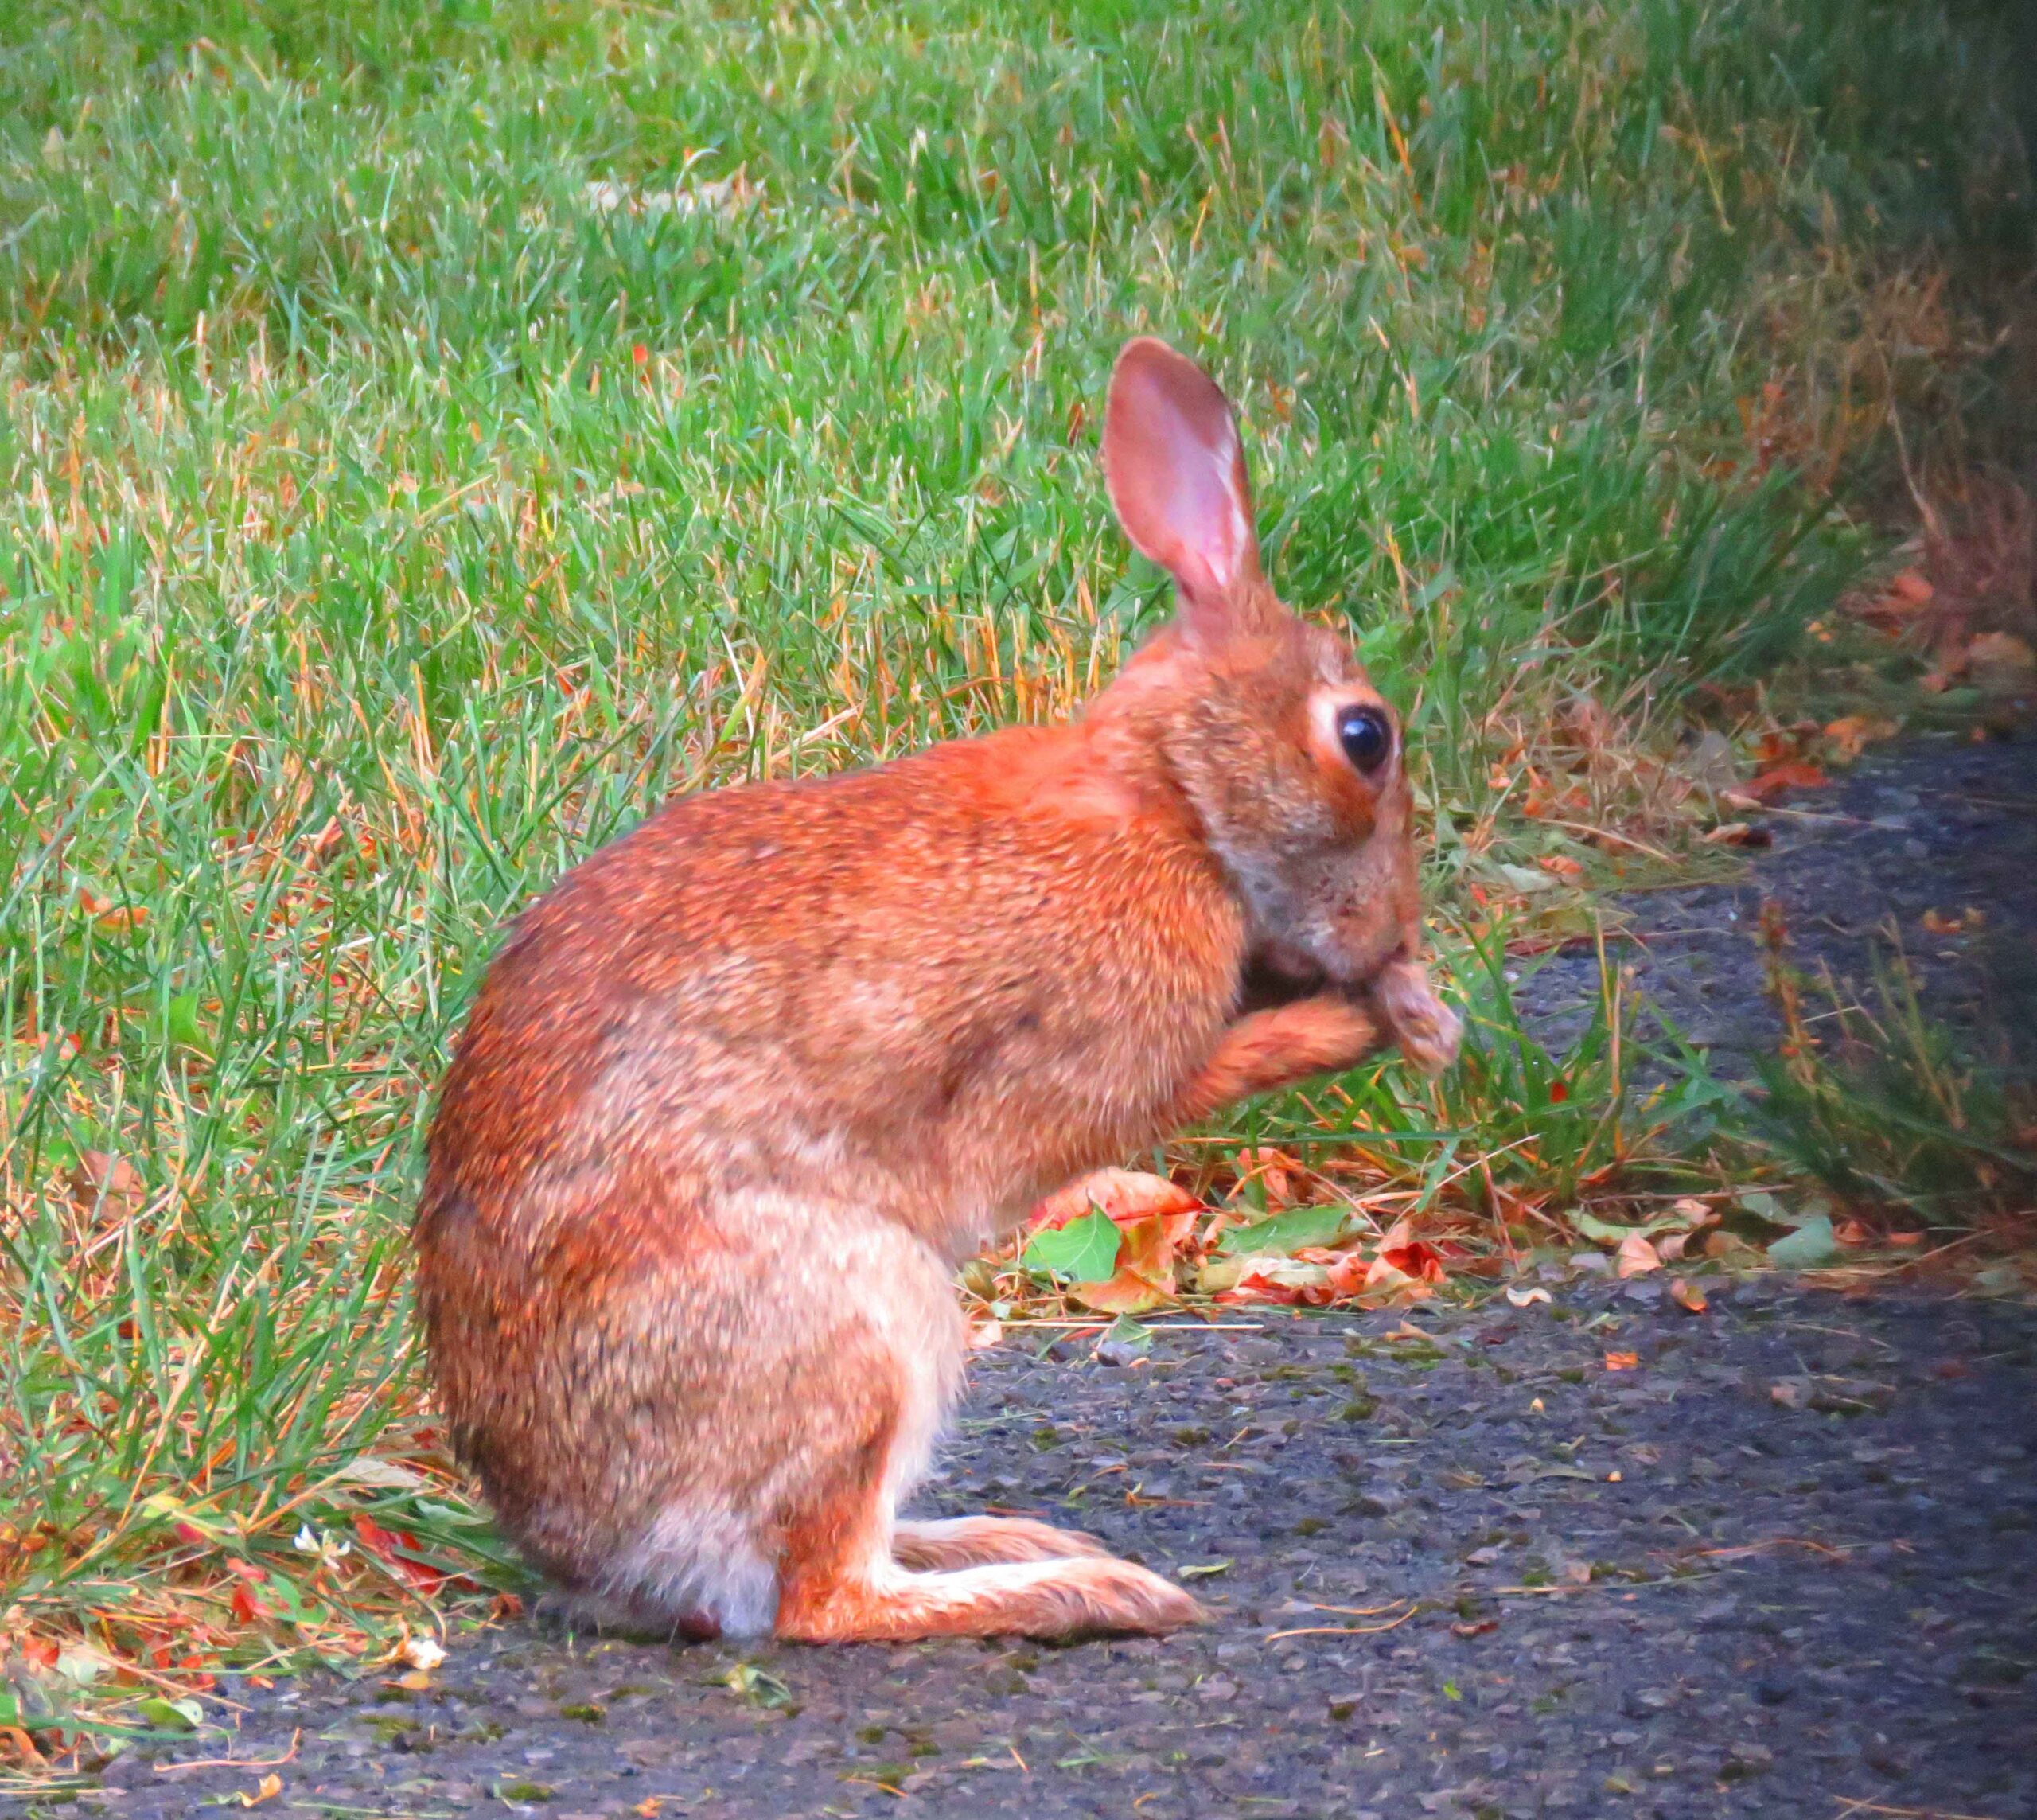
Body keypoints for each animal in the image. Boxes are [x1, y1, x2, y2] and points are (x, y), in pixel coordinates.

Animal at [417, 334, 1466, 1639]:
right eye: (1364, 736)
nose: (1396, 931)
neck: (1168, 799)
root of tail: (590, 1555)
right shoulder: (1095, 1051)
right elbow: (1184, 1077)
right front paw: (1371, 1019)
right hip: (865, 1316)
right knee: (827, 1596)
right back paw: (1083, 1588)